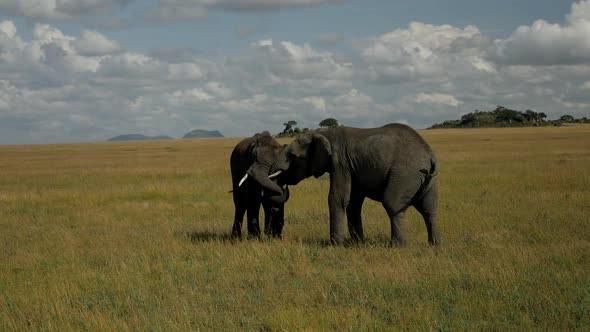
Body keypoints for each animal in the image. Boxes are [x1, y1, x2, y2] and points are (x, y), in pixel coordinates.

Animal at [252, 123, 442, 245]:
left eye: (292, 156)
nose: (282, 185)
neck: (324, 133)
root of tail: (429, 155)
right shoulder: (352, 166)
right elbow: (353, 203)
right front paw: (357, 243)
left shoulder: (340, 162)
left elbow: (337, 198)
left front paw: (335, 245)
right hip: (426, 179)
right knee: (429, 209)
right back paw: (434, 246)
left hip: (405, 173)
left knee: (393, 205)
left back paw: (397, 246)